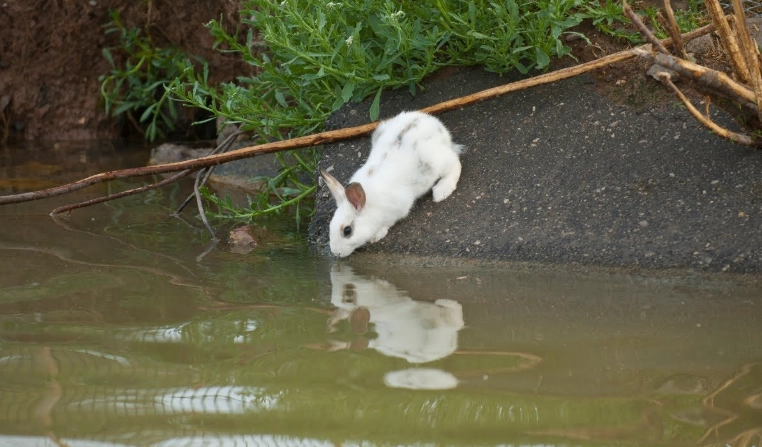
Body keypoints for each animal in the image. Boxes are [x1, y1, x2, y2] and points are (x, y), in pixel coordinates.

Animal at [320, 111, 463, 258]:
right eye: (330, 226)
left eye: (347, 230)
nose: (336, 253)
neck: (370, 204)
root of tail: (438, 127)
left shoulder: (399, 208)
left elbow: (388, 223)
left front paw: (377, 235)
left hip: (435, 160)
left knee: (455, 164)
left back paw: (442, 191)